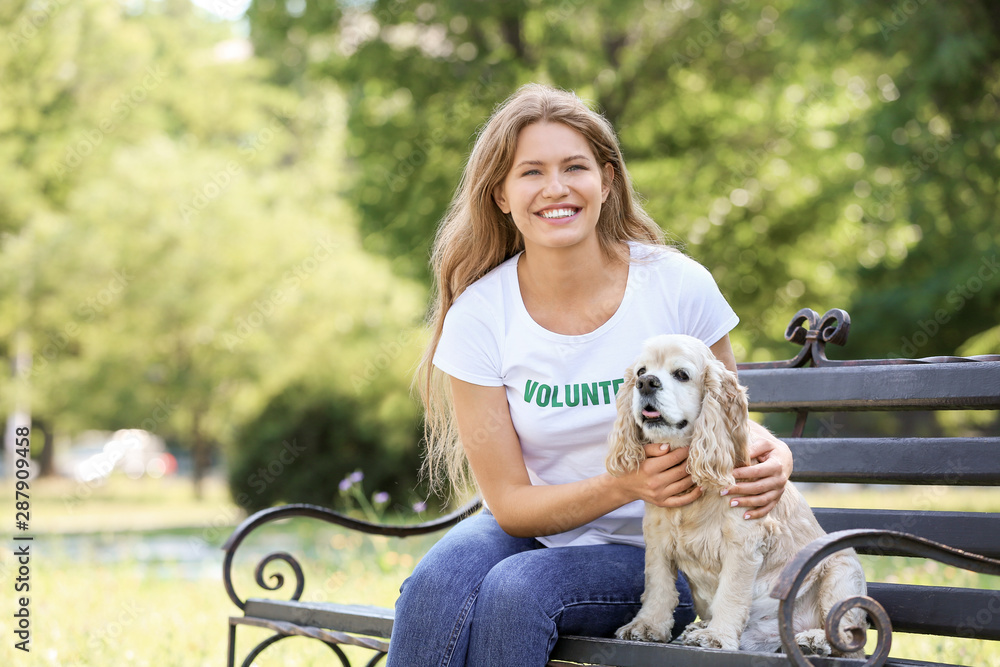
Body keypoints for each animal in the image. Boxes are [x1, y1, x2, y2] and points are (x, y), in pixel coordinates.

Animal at [600, 334, 868, 656]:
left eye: (681, 375)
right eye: (640, 372)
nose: (646, 383)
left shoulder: (744, 541)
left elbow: (731, 592)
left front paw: (717, 637)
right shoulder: (657, 540)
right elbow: (658, 587)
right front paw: (647, 626)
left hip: (842, 572)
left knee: (848, 638)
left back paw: (812, 640)